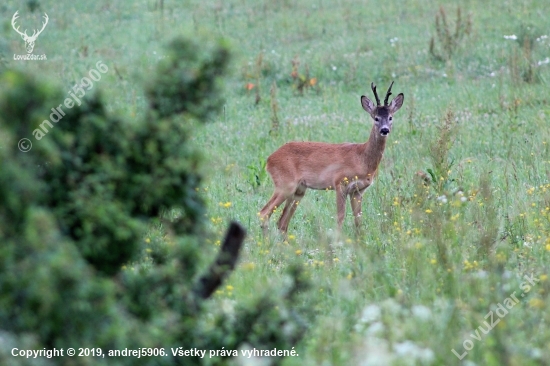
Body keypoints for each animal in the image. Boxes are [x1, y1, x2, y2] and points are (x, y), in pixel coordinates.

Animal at [258, 81, 406, 234]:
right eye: (376, 118)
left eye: (390, 117)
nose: (384, 130)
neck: (362, 158)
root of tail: (269, 160)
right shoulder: (340, 183)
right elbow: (340, 217)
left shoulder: (358, 191)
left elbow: (358, 220)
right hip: (285, 184)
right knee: (264, 213)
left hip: (299, 189)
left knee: (282, 222)